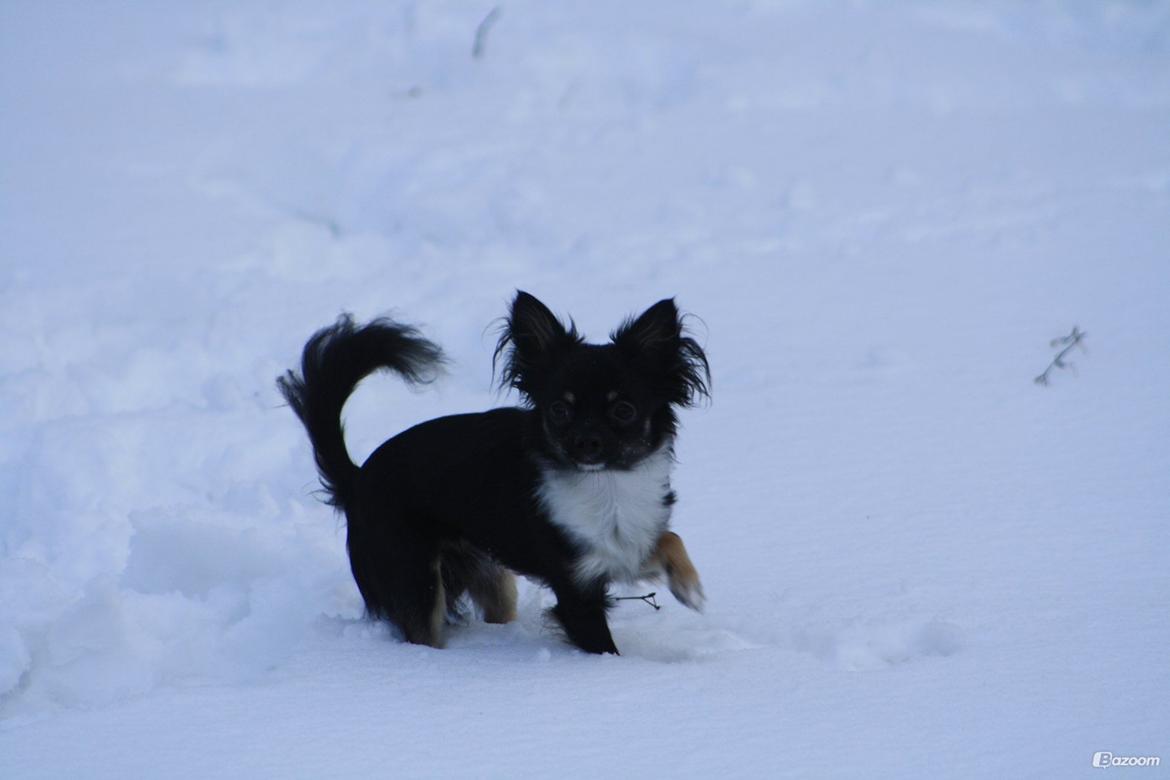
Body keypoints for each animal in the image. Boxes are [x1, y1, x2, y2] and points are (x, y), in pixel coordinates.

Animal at [278, 291, 706, 654]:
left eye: (623, 410)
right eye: (559, 410)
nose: (586, 442)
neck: (608, 484)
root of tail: (357, 479)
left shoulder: (627, 542)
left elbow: (670, 537)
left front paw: (688, 585)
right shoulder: (576, 589)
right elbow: (602, 645)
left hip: (492, 575)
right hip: (414, 577)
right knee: (423, 632)